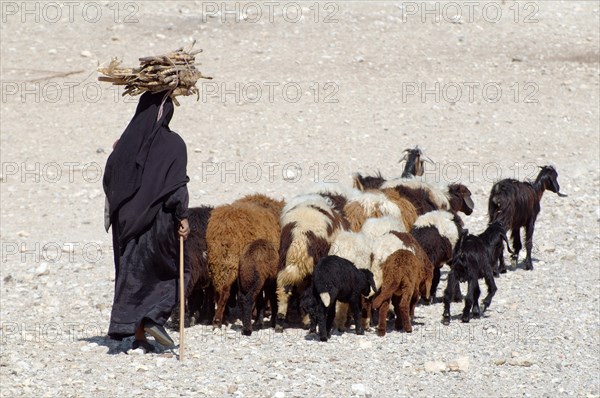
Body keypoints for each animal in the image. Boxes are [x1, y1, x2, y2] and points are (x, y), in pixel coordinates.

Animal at [206, 194, 284, 328]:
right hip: (232, 264)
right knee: (225, 290)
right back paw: (218, 320)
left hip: (217, 264)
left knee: (218, 290)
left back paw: (222, 318)